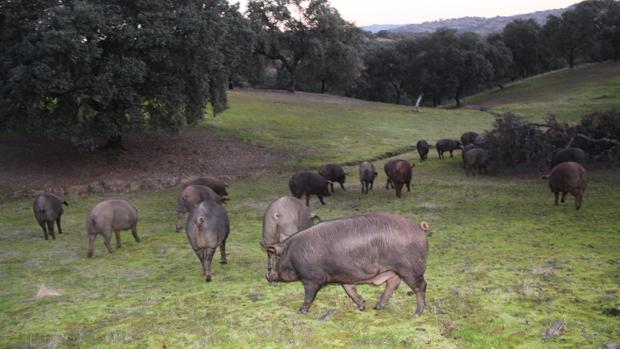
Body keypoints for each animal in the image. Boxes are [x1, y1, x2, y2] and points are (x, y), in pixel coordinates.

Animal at [264, 212, 434, 316]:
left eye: (275, 260)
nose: (268, 277)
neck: (292, 254)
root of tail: (420, 228)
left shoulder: (311, 278)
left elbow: (309, 295)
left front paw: (301, 310)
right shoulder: (344, 274)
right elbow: (350, 290)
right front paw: (362, 306)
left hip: (410, 268)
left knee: (421, 286)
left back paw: (416, 313)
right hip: (394, 270)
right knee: (393, 284)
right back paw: (376, 307)